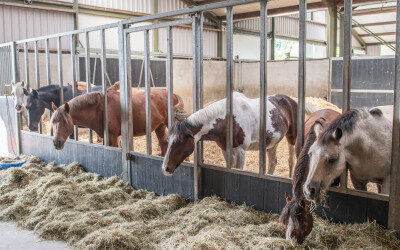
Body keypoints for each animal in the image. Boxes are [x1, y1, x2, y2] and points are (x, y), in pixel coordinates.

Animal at [161, 92, 320, 176]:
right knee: (273, 161)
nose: (165, 168)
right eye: (169, 140)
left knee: (291, 160)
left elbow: (238, 169)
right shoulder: (225, 149)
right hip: (272, 142)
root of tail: (291, 100)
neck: (228, 120)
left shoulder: (240, 150)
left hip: (292, 137)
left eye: (179, 142)